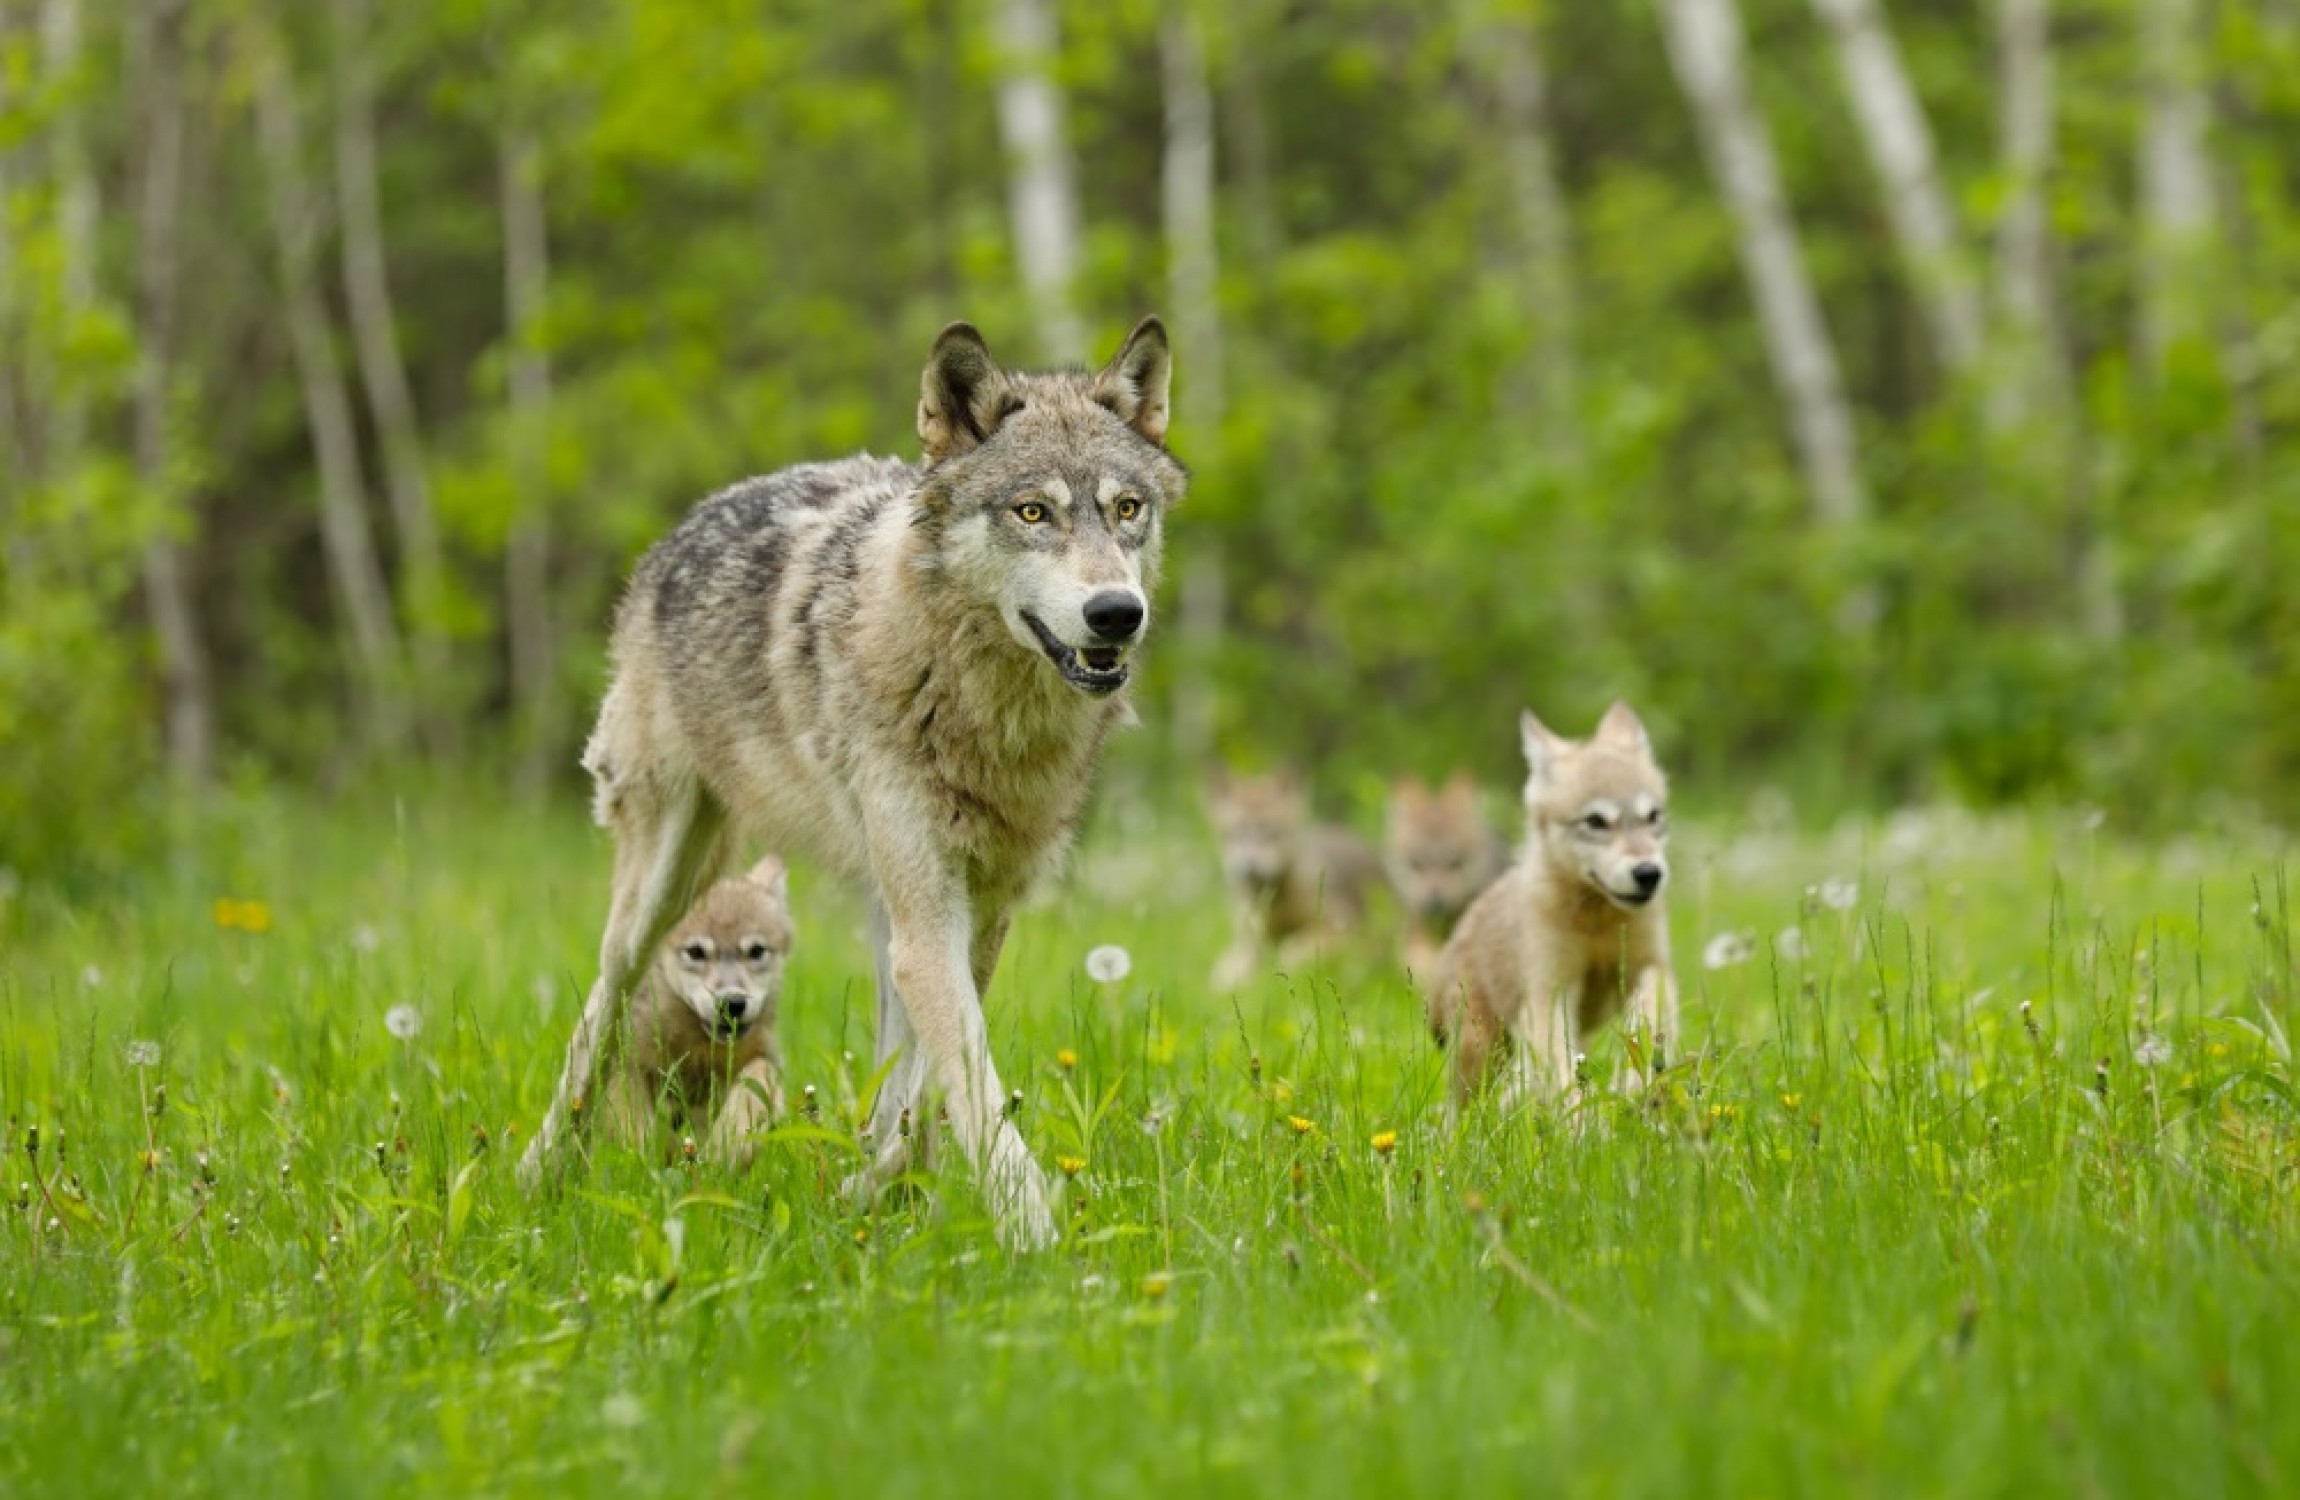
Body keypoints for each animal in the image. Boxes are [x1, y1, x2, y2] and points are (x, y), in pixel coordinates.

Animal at [512, 319, 1177, 1251]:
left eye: (1126, 509)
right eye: (1032, 512)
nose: (1116, 612)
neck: (980, 708)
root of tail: (686, 524)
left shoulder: (977, 916)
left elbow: (931, 1092)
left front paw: (875, 1192)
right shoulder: (929, 924)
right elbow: (969, 1083)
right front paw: (1032, 1231)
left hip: (875, 905)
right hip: (661, 887)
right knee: (600, 1011)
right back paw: (541, 1171)